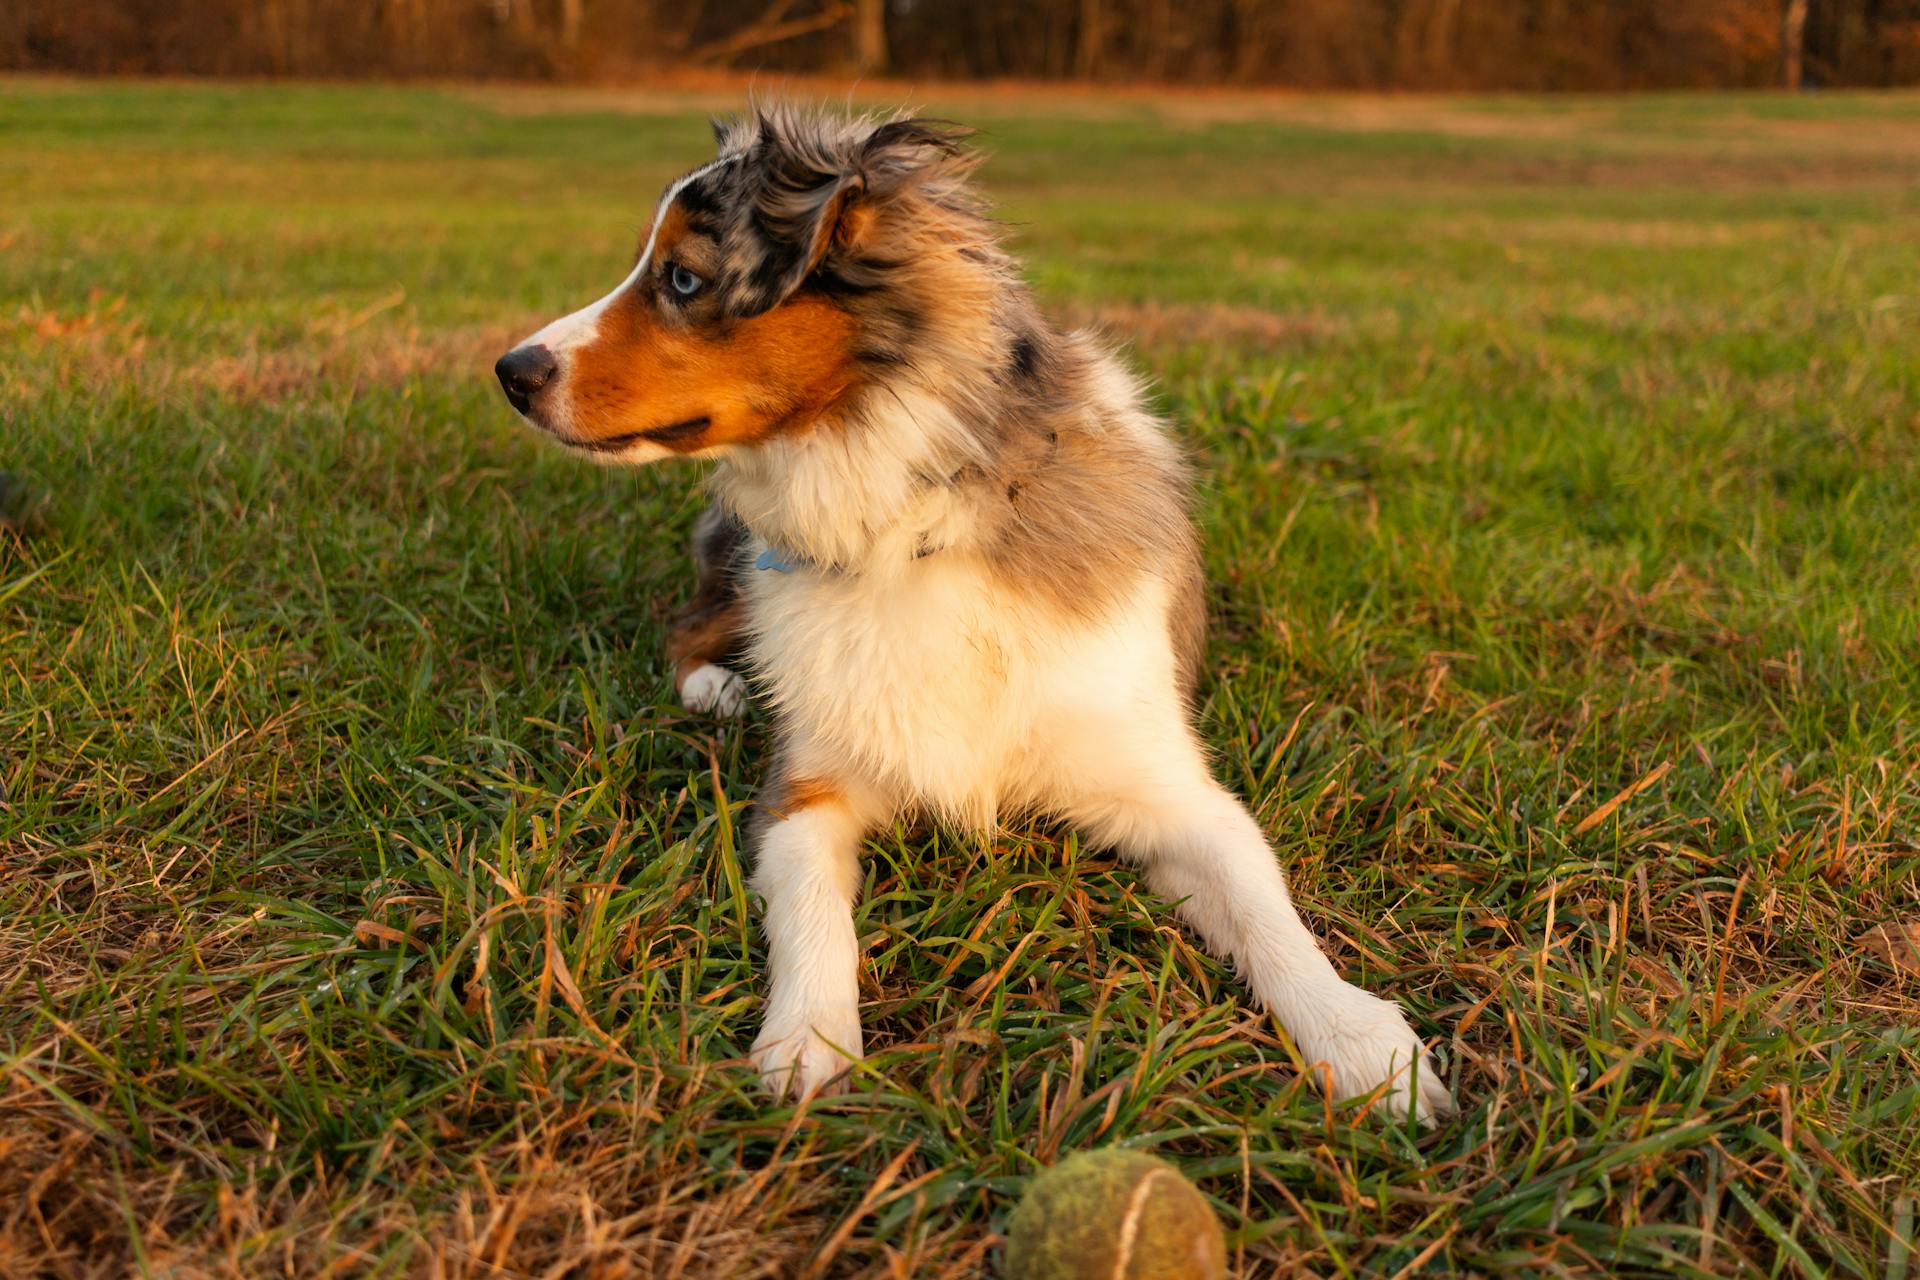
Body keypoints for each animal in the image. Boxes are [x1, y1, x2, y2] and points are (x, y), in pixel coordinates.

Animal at [499, 102, 1451, 1120]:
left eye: (681, 278)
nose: (508, 371)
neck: (914, 520)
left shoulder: (1170, 789)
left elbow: (1264, 903)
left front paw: (1360, 1041)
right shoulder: (806, 790)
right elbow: (812, 913)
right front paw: (807, 1043)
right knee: (688, 625)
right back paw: (719, 689)